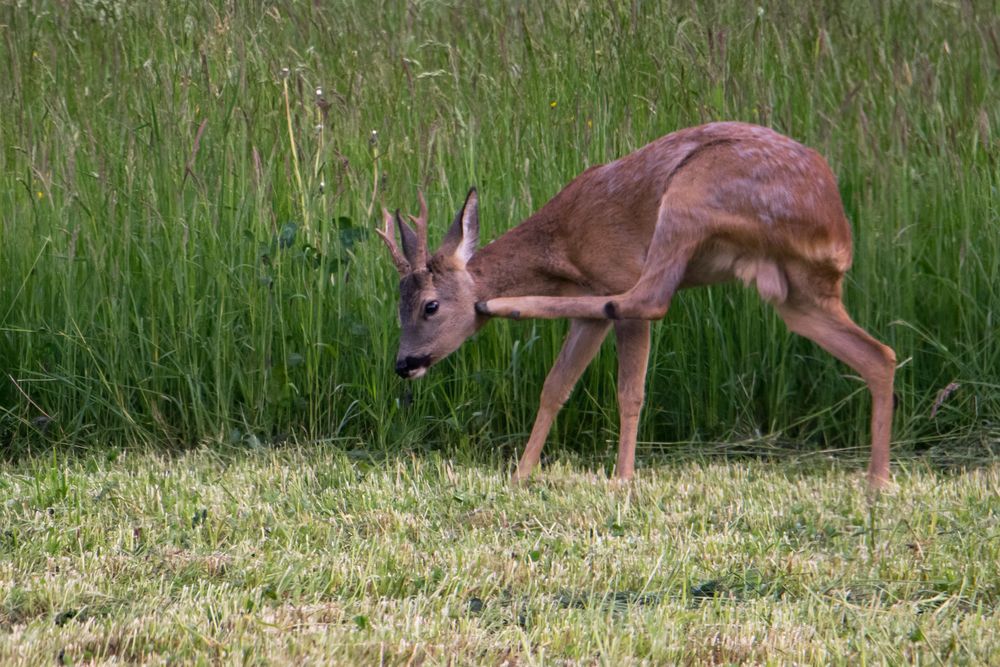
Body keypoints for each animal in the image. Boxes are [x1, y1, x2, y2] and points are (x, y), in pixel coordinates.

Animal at [376, 122, 900, 490]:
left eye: (429, 306)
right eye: (397, 308)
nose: (404, 363)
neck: (562, 244)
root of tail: (836, 224)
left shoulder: (613, 271)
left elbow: (629, 391)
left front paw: (623, 477)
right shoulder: (586, 309)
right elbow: (555, 386)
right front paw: (522, 473)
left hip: (691, 193)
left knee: (648, 299)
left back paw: (505, 304)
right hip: (797, 291)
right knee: (880, 355)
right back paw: (877, 480)